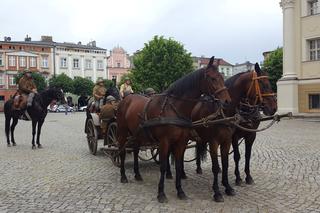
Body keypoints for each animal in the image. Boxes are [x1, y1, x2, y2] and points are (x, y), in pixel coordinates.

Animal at [116, 56, 231, 203]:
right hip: (122, 132)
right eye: (212, 78)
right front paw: (161, 193)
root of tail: (126, 99)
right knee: (122, 151)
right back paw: (123, 176)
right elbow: (163, 166)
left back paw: (137, 174)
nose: (227, 101)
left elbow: (178, 164)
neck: (174, 108)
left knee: (135, 151)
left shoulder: (181, 142)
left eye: (222, 76)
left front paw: (180, 191)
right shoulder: (164, 142)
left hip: (137, 134)